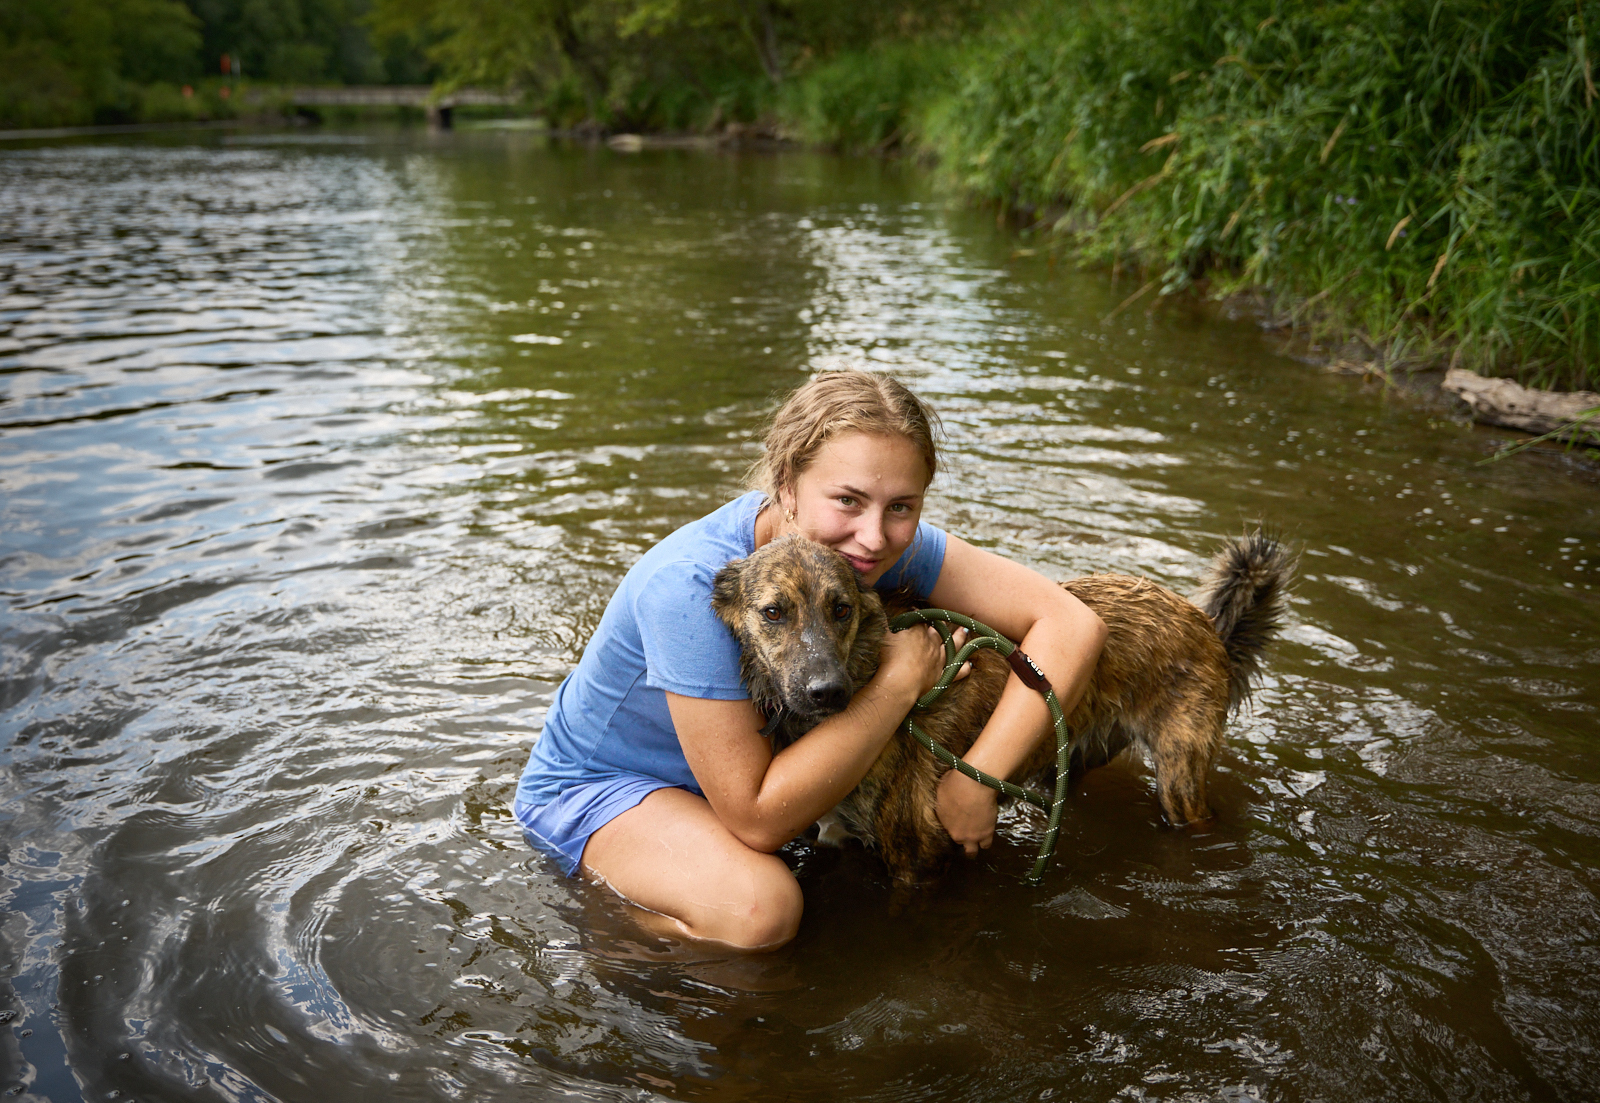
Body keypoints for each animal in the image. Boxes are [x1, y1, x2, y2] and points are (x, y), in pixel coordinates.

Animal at [720, 528, 1292, 883]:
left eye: (840, 609)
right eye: (773, 612)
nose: (828, 691)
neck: (869, 676)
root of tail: (1202, 620)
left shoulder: (916, 863)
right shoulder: (839, 840)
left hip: (1180, 780)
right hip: (1072, 763)